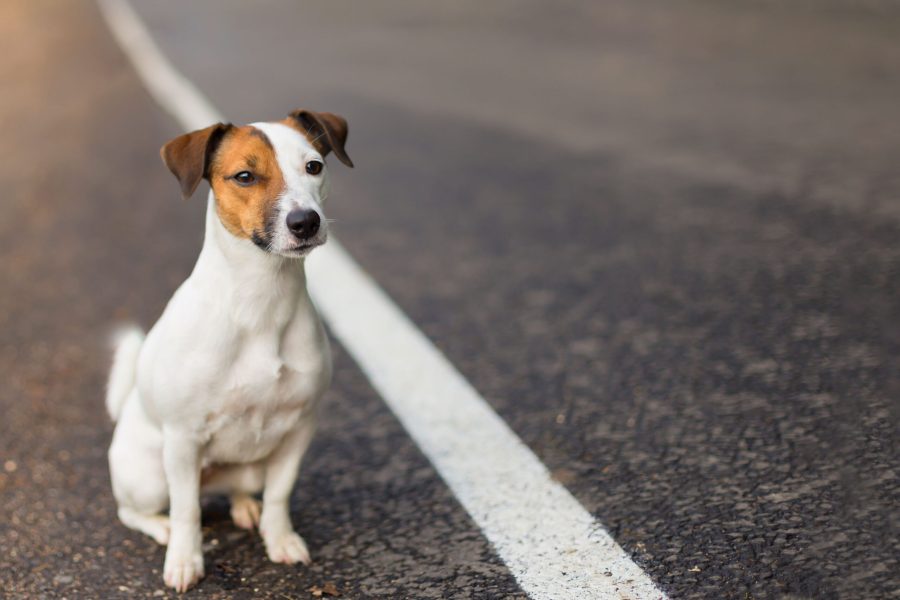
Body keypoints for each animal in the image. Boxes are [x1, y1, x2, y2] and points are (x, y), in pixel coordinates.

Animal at [107, 108, 354, 592]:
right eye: (244, 176)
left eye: (314, 166)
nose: (306, 222)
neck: (262, 301)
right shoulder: (183, 438)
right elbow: (187, 511)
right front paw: (185, 561)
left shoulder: (299, 428)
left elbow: (280, 494)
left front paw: (280, 539)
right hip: (149, 475)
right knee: (139, 509)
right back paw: (161, 528)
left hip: (251, 464)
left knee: (240, 488)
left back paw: (244, 505)